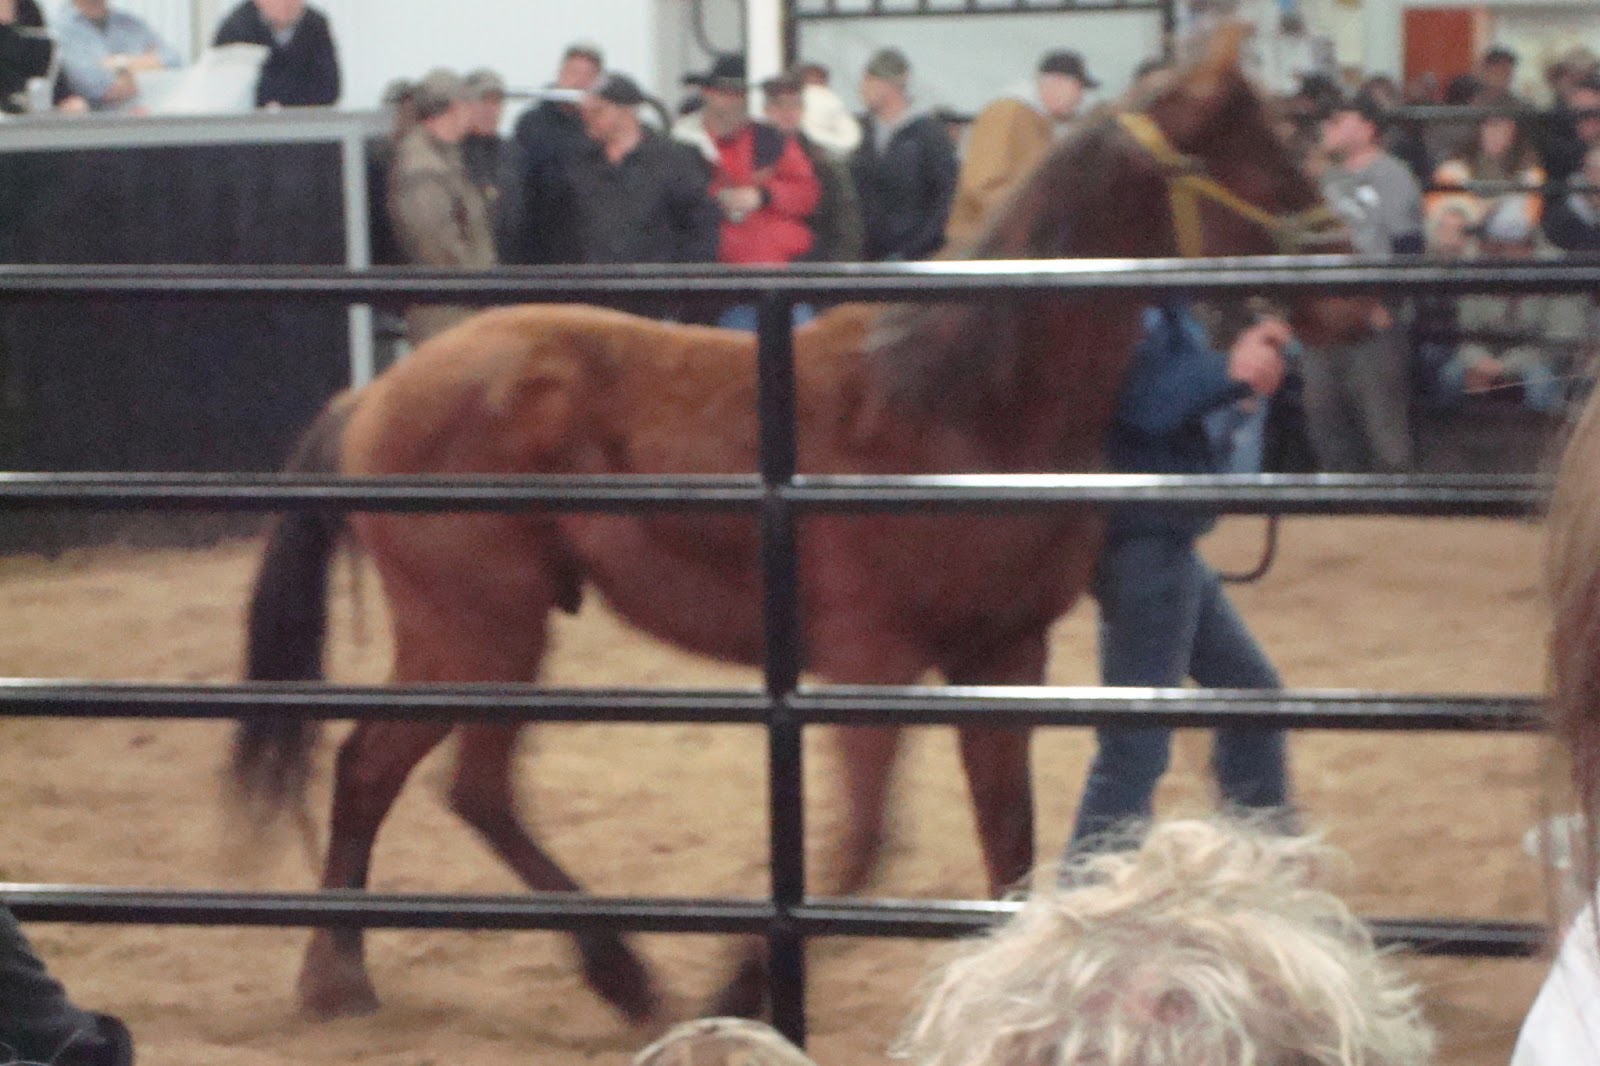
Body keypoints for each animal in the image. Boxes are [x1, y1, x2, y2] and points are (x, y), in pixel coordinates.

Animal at [229, 26, 1364, 1026]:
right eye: (1266, 151)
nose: (1354, 292)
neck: (960, 406)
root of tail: (375, 394)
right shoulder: (870, 661)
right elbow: (862, 845)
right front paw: (740, 993)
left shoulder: (1001, 651)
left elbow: (1011, 841)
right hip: (482, 635)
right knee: (412, 777)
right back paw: (433, 974)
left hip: (480, 640)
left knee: (428, 783)